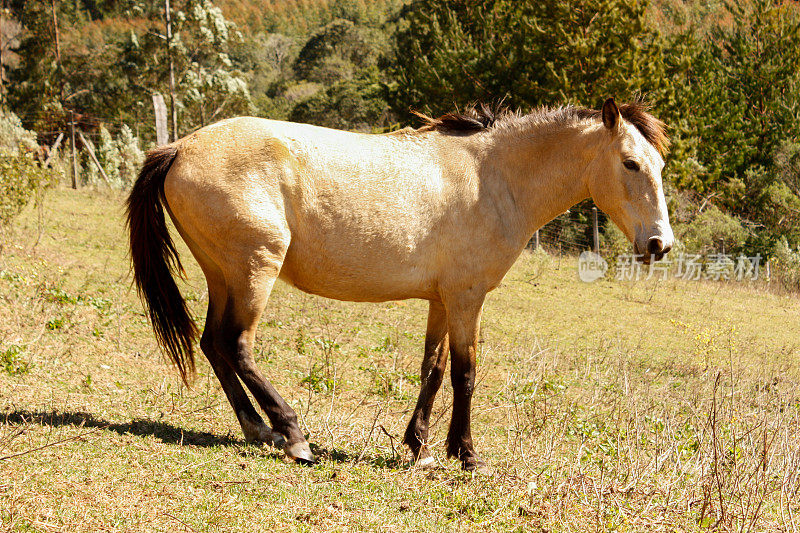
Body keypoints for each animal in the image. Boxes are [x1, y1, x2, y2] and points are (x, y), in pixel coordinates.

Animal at [125, 97, 672, 472]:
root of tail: (180, 147)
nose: (659, 243)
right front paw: (466, 455)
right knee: (237, 345)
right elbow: (465, 373)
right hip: (255, 269)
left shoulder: (441, 299)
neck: (493, 178)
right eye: (630, 163)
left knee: (213, 344)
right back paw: (293, 434)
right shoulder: (467, 299)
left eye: (660, 165)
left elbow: (433, 369)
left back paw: (257, 428)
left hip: (223, 274)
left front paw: (421, 446)